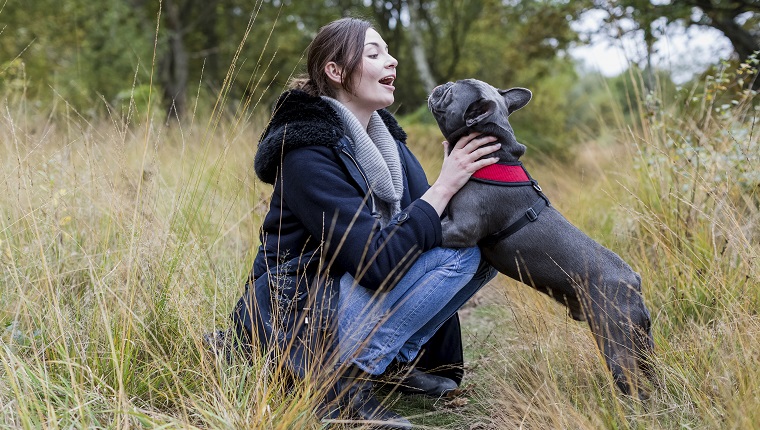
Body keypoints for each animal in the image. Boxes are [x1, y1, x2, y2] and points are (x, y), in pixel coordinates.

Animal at [428, 79, 652, 398]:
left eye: (451, 91)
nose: (441, 84)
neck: (496, 153)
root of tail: (634, 282)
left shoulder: (461, 228)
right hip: (641, 343)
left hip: (616, 344)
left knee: (635, 387)